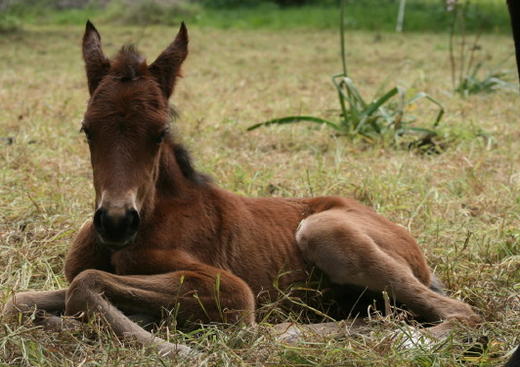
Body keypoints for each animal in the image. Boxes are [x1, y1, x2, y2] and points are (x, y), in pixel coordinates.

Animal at [4, 21, 482, 358]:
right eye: (87, 130)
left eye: (159, 133)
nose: (117, 221)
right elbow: (21, 300)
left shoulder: (230, 291)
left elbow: (86, 283)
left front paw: (178, 348)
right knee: (386, 313)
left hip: (324, 229)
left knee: (461, 313)